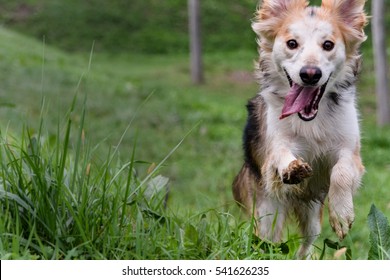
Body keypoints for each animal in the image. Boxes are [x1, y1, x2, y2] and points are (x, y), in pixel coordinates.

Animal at [233, 0, 368, 258]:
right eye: (292, 43)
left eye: (328, 45)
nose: (310, 74)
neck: (311, 119)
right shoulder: (275, 145)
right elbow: (281, 154)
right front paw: (292, 167)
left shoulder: (350, 150)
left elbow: (342, 172)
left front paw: (342, 213)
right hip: (267, 211)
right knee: (267, 239)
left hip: (313, 215)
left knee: (307, 243)